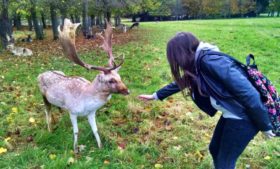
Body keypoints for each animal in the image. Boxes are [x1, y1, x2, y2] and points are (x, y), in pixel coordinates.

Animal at [36, 18, 130, 153]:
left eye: (120, 77)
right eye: (111, 80)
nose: (127, 91)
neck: (86, 101)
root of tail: (40, 74)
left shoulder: (91, 112)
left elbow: (95, 130)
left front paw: (100, 146)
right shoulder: (72, 111)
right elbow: (76, 131)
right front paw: (75, 149)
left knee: (55, 108)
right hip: (42, 95)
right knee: (47, 111)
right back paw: (50, 129)